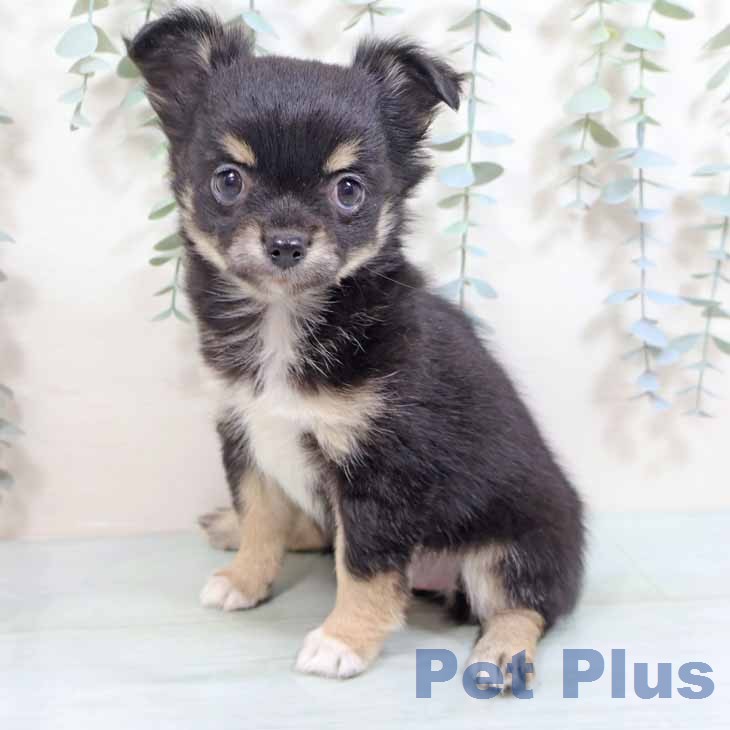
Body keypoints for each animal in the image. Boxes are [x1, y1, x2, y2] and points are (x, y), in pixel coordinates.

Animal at [127, 8, 585, 686]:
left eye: (349, 190)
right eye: (228, 181)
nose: (286, 242)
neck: (284, 320)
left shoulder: (381, 469)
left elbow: (364, 566)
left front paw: (344, 640)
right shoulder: (247, 433)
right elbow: (261, 516)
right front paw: (246, 578)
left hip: (513, 548)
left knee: (524, 606)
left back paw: (499, 654)